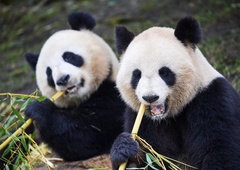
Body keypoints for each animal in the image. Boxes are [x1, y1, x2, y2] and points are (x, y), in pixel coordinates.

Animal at [24, 11, 125, 162]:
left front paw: (38, 108)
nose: (62, 79)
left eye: (69, 57)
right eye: (49, 73)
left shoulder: (115, 99)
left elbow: (89, 134)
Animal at [109, 16, 240, 169]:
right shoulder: (142, 119)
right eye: (137, 74)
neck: (168, 116)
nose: (150, 97)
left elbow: (220, 150)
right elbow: (151, 156)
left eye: (164, 72)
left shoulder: (213, 100)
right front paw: (125, 148)